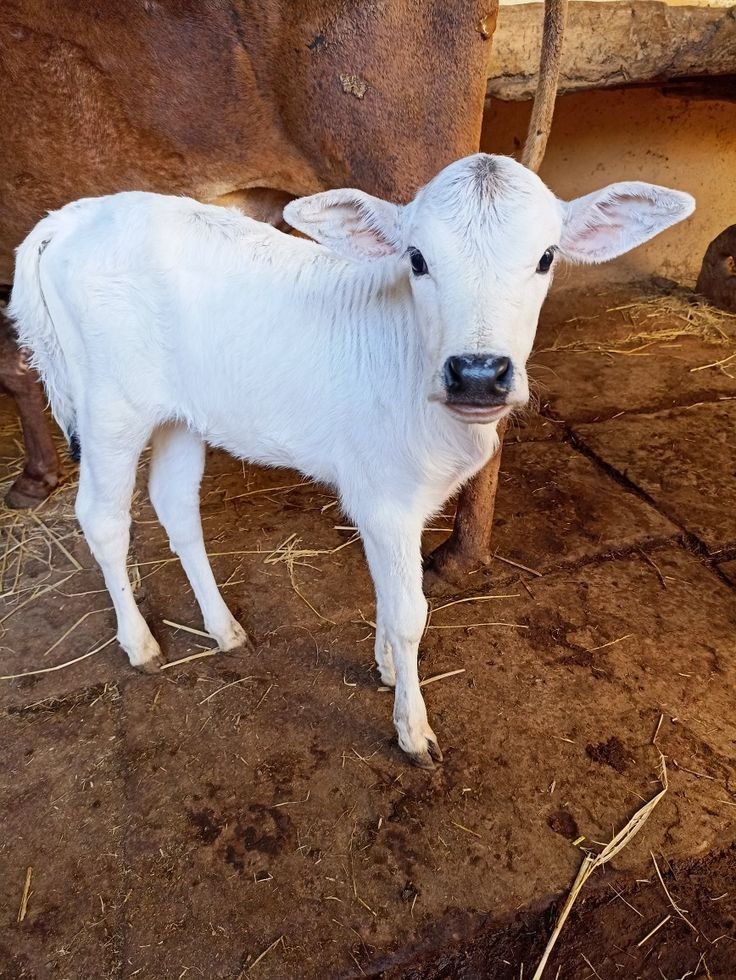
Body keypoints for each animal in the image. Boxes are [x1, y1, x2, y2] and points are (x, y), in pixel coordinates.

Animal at [9, 153, 694, 766]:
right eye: (416, 259)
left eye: (547, 257)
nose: (478, 373)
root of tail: (71, 216)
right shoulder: (385, 499)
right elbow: (411, 612)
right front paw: (413, 731)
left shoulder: (391, 499)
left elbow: (387, 596)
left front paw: (387, 668)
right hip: (109, 407)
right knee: (102, 518)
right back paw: (141, 643)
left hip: (181, 413)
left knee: (176, 504)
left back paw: (224, 629)